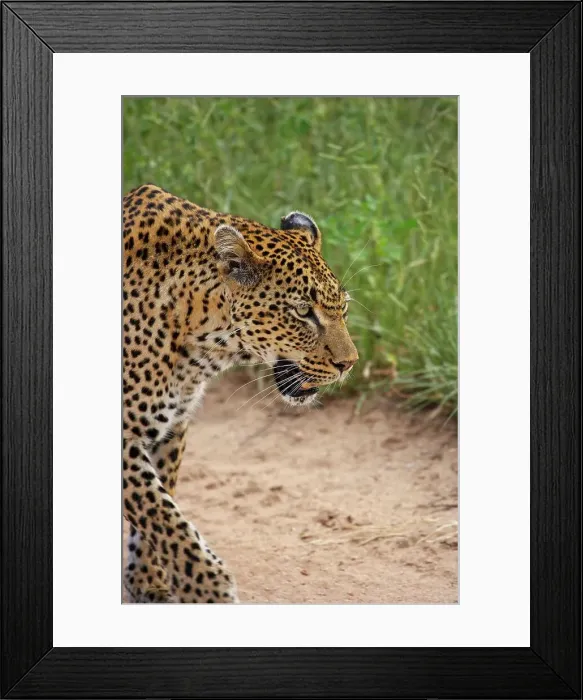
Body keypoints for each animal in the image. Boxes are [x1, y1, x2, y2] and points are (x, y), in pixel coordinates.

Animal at [123, 184, 358, 603]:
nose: (349, 363)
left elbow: (160, 501)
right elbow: (158, 511)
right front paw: (207, 588)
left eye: (343, 308)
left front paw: (148, 580)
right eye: (303, 312)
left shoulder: (171, 427)